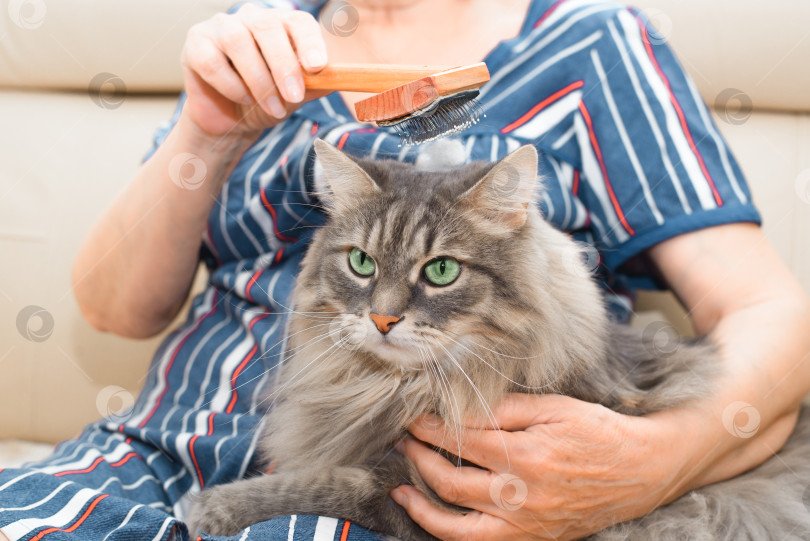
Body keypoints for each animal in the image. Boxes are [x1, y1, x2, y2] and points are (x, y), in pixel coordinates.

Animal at [186, 140, 808, 540]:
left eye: (441, 272)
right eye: (362, 263)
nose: (383, 320)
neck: (396, 388)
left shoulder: (418, 500)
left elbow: (317, 486)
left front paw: (207, 507)